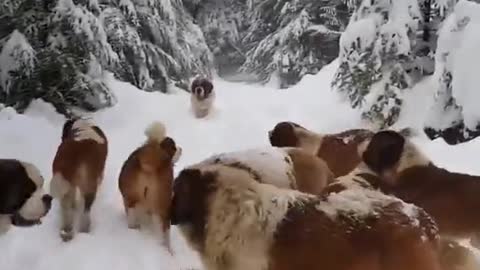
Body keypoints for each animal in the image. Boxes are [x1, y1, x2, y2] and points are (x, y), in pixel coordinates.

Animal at [118, 120, 182, 251]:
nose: (181, 149)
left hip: (131, 200)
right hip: (163, 205)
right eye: (174, 147)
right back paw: (166, 250)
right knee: (164, 232)